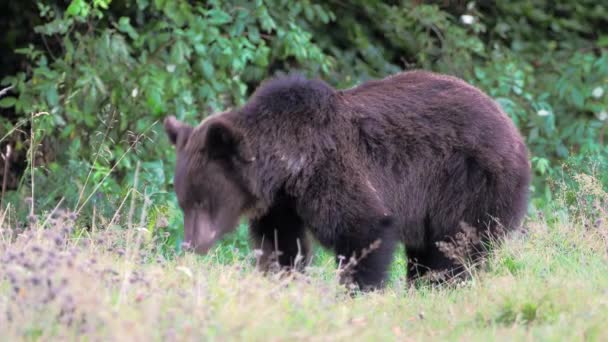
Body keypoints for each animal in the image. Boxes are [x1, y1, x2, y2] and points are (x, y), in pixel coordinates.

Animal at [164, 71, 528, 290]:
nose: (191, 244)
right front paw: (283, 282)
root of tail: (513, 129)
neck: (288, 166)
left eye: (202, 200)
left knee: (455, 246)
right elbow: (281, 246)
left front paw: (356, 291)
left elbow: (363, 229)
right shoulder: (282, 205)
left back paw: (440, 287)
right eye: (184, 201)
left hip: (468, 183)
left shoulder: (330, 172)